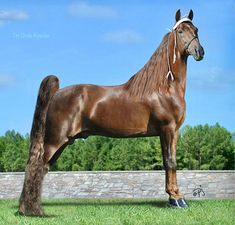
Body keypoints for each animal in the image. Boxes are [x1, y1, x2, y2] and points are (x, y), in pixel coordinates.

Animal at [19, 9, 204, 215]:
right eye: (180, 31)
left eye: (196, 30)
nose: (199, 52)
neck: (164, 87)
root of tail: (56, 93)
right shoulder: (167, 129)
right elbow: (170, 162)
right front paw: (175, 199)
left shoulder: (174, 132)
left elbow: (171, 162)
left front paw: (176, 197)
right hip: (55, 140)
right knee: (35, 167)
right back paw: (31, 210)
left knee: (41, 169)